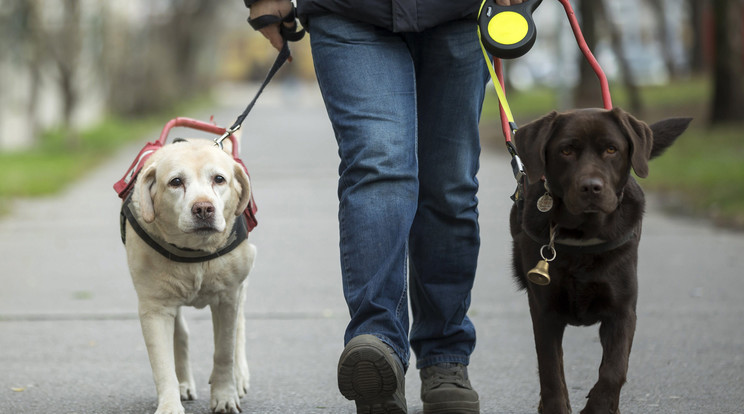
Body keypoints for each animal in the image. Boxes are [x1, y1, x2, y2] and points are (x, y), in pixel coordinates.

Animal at [123, 137, 258, 412]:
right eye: (176, 182)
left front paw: (225, 396)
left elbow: (224, 351)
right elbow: (162, 366)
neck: (194, 252)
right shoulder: (154, 308)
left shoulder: (228, 298)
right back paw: (184, 383)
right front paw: (169, 405)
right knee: (181, 335)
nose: (203, 208)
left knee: (239, 328)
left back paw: (239, 377)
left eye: (219, 179)